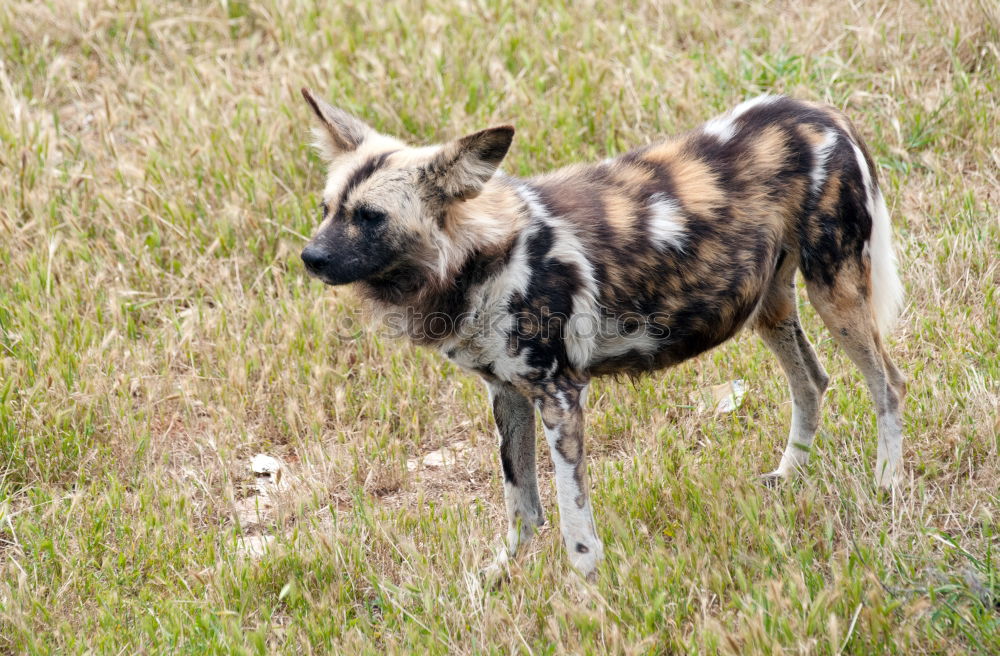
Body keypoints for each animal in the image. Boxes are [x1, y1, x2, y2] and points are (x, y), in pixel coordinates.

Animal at [294, 89, 908, 576]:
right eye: (325, 209)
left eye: (370, 217)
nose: (310, 257)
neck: (481, 257)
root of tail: (821, 111)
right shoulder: (507, 395)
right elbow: (521, 503)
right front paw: (501, 575)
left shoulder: (560, 397)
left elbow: (573, 519)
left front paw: (587, 587)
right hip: (768, 306)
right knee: (812, 382)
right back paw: (788, 475)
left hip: (836, 293)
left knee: (889, 384)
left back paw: (887, 486)